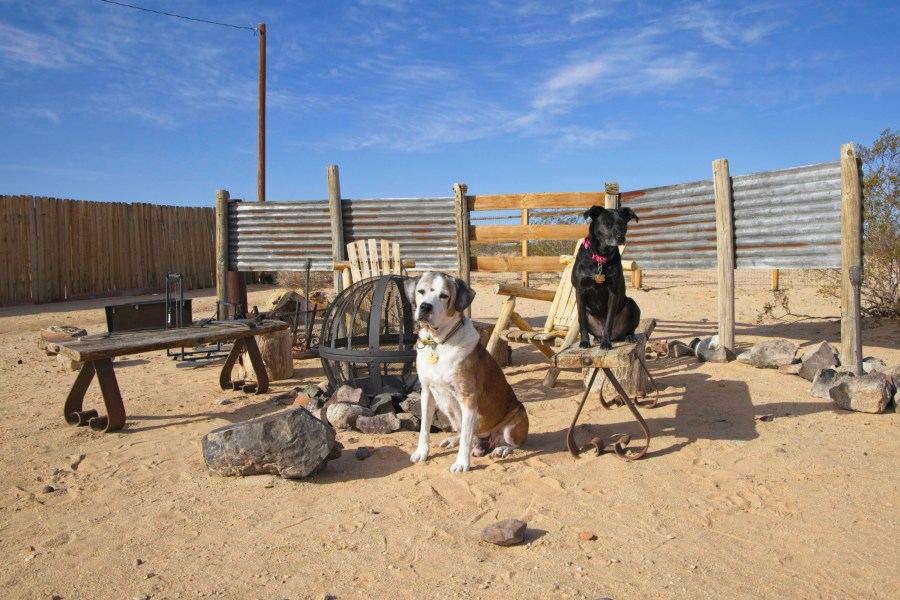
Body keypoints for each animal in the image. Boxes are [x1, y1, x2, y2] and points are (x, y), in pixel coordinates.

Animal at [402, 272, 528, 474]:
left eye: (444, 296)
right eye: (421, 291)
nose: (425, 307)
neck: (439, 343)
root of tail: (485, 442)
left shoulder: (468, 398)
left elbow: (466, 439)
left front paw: (462, 463)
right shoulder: (427, 392)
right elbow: (424, 429)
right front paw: (421, 452)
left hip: (516, 418)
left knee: (514, 443)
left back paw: (502, 448)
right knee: (462, 433)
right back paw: (452, 440)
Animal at [568, 205, 640, 350]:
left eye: (623, 224)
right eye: (607, 224)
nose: (620, 238)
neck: (601, 257)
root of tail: (617, 336)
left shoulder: (613, 292)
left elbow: (609, 321)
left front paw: (606, 343)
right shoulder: (580, 290)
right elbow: (583, 322)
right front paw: (584, 342)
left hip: (632, 304)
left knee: (630, 328)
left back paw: (628, 336)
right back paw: (596, 338)